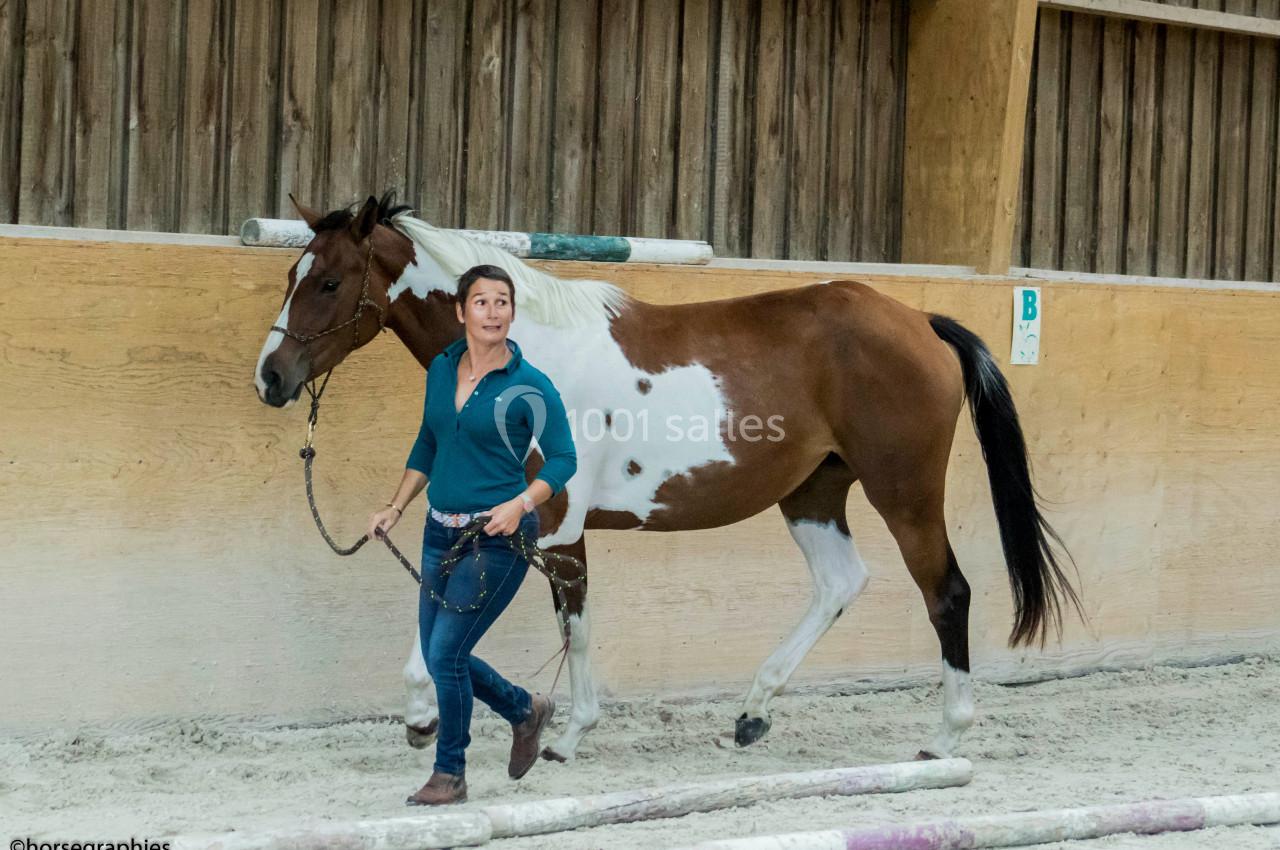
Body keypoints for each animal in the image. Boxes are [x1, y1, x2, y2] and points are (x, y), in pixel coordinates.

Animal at [254, 193, 1080, 763]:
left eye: (328, 282)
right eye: (293, 272)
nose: (271, 377)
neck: (530, 357)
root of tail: (921, 322)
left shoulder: (555, 525)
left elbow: (573, 625)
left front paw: (567, 737)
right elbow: (441, 611)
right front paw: (425, 716)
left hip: (904, 493)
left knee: (948, 593)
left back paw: (945, 738)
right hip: (812, 494)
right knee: (840, 584)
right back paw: (752, 713)